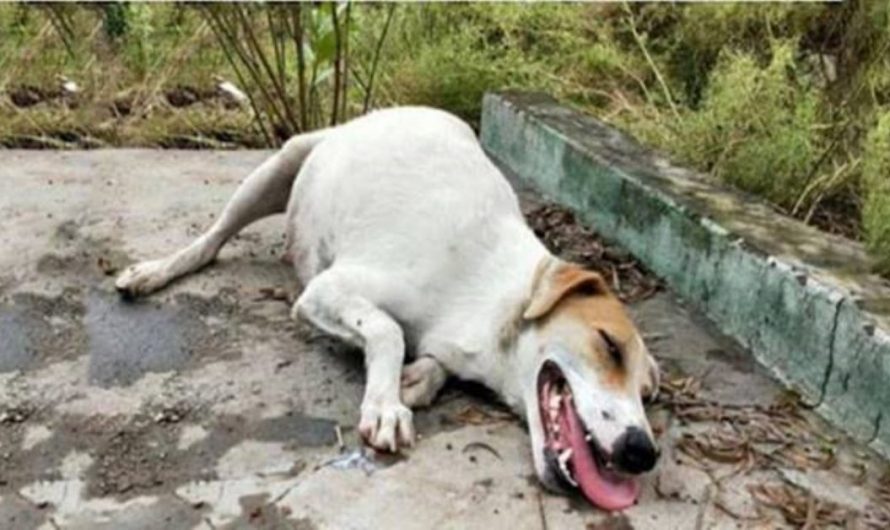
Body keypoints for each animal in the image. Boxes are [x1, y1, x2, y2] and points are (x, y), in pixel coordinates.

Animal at [114, 106, 660, 508]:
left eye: (647, 393)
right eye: (609, 346)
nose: (643, 452)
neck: (498, 297)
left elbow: (425, 358)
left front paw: (418, 378)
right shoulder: (326, 290)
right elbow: (386, 331)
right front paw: (384, 401)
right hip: (279, 165)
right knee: (210, 242)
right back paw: (154, 272)